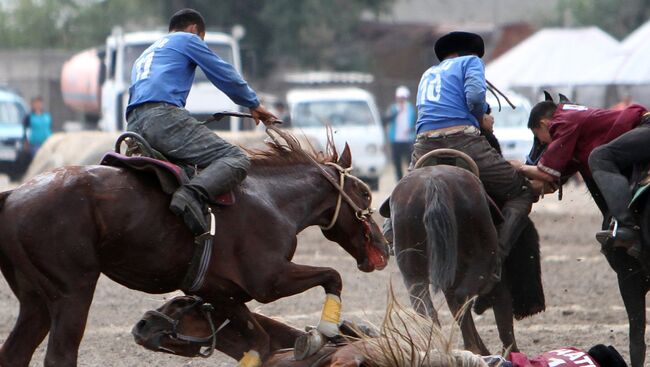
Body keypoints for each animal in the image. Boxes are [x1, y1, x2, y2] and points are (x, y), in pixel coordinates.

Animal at [0, 131, 388, 366]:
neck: (271, 200)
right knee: (60, 354)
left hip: (35, 301)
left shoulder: (223, 293)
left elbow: (259, 343)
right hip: (72, 292)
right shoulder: (269, 281)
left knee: (16, 352)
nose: (383, 246)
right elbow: (332, 276)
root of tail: (15, 194)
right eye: (365, 194)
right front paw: (324, 333)